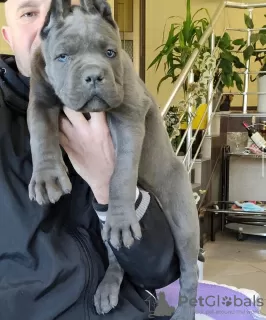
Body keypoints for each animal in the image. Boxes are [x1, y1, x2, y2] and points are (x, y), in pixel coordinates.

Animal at [27, 0, 201, 318]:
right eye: (62, 57)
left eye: (110, 53)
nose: (94, 75)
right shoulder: (41, 98)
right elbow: (40, 132)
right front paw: (46, 178)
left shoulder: (129, 113)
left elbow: (121, 173)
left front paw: (120, 216)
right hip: (104, 229)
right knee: (117, 256)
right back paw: (108, 289)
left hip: (182, 216)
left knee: (189, 268)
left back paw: (183, 311)